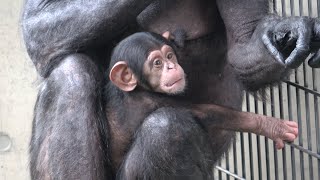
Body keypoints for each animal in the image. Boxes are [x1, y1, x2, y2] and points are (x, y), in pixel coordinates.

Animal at [105, 32, 298, 179]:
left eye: (169, 56)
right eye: (157, 63)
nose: (171, 66)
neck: (137, 89)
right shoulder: (151, 100)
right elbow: (209, 113)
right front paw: (272, 126)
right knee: (163, 125)